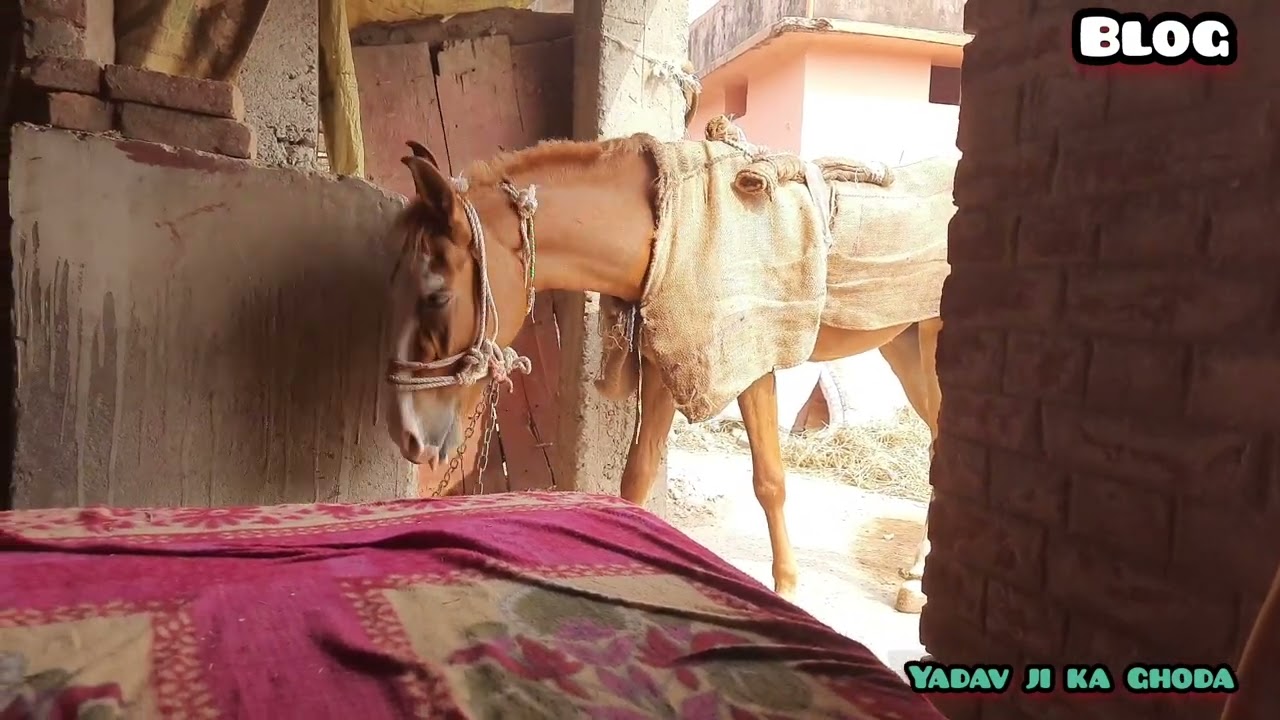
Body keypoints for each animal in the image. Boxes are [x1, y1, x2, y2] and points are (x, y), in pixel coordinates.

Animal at [381, 136, 943, 613]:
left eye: (436, 296)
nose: (407, 435)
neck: (667, 232)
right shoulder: (664, 360)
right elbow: (639, 471)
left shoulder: (749, 363)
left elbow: (769, 481)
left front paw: (786, 587)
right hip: (904, 347)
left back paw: (917, 584)